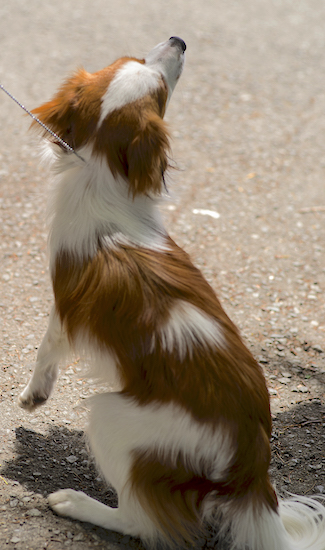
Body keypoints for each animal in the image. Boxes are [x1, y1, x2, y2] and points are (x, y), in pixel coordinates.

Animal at [18, 36, 324, 548]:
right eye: (136, 62)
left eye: (159, 89)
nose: (179, 40)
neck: (101, 176)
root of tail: (252, 474)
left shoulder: (66, 305)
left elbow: (46, 347)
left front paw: (32, 395)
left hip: (111, 417)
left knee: (143, 522)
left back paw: (76, 504)